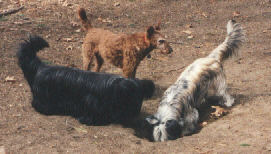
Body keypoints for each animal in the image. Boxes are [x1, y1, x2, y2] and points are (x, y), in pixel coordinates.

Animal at [17, 35, 155, 125]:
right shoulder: (91, 103)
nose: (136, 113)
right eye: (131, 98)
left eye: (140, 98)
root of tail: (41, 67)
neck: (113, 88)